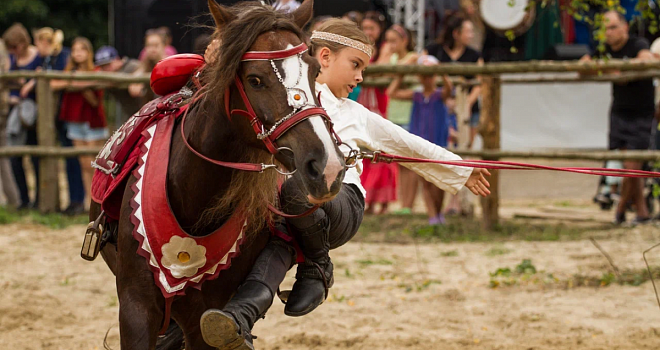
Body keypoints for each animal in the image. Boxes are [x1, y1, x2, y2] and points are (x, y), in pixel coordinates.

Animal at [91, 1, 346, 348]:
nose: (326, 164)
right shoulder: (135, 307)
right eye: (255, 79)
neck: (192, 197)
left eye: (314, 71)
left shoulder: (202, 314)